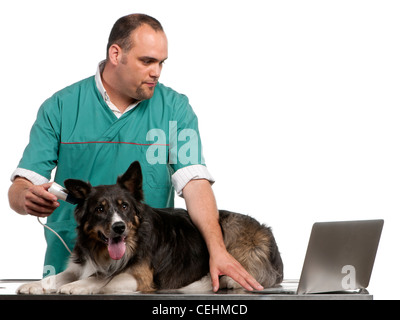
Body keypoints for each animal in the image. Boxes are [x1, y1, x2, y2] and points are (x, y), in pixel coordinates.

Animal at [17, 161, 282, 294]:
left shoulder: (140, 277)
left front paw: (77, 287)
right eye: (99, 209)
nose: (119, 228)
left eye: (124, 206)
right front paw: (36, 284)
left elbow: (102, 279)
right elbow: (60, 276)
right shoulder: (79, 265)